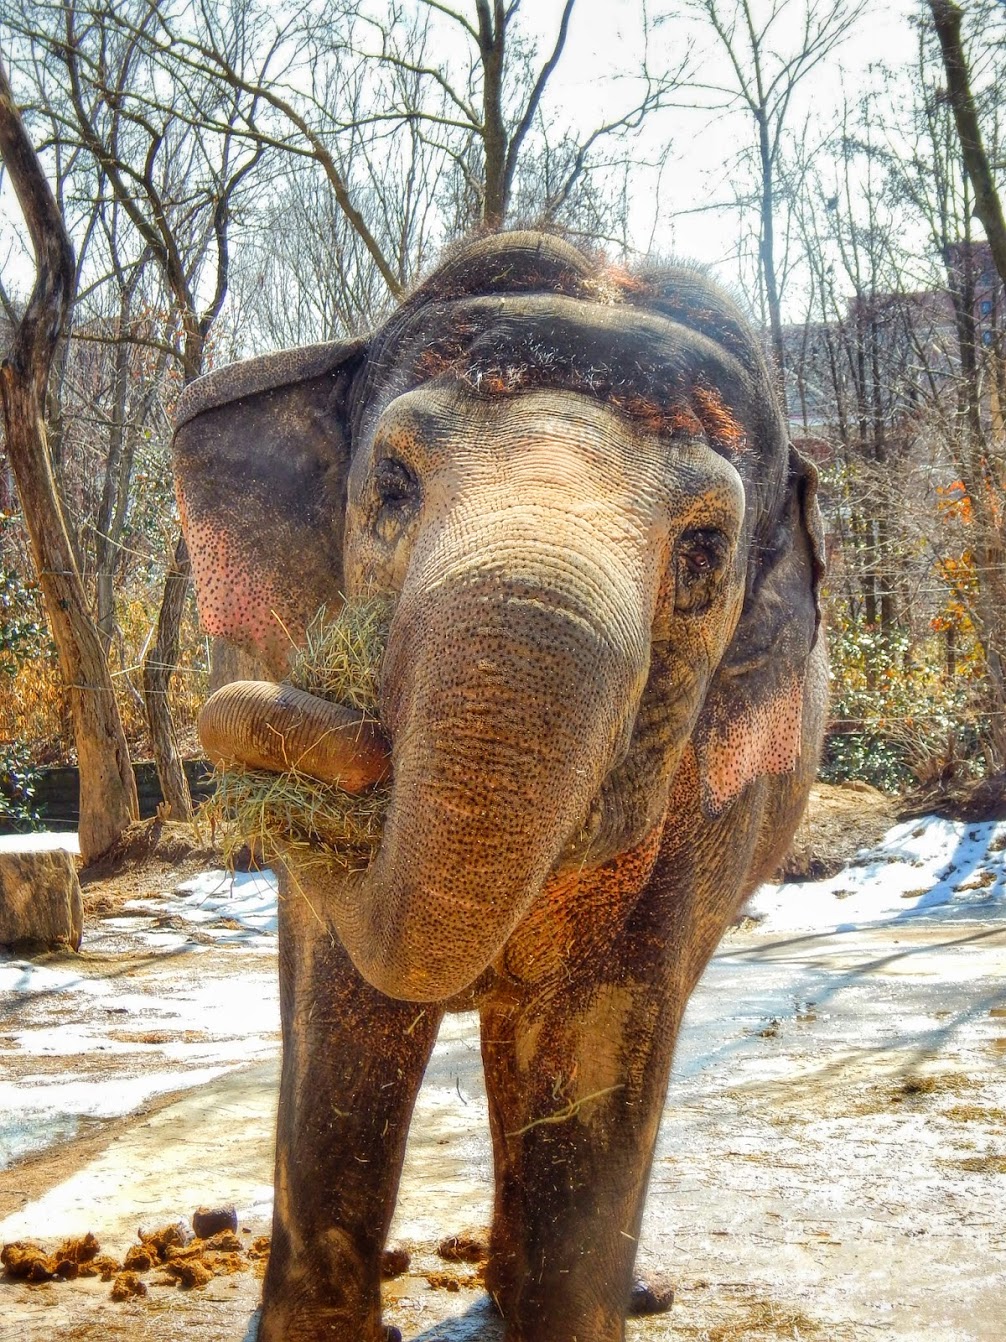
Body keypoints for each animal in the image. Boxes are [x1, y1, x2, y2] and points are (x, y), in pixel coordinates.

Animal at [173, 230, 827, 1342]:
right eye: (393, 488)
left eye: (703, 551)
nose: (331, 744)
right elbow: (345, 1009)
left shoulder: (702, 815)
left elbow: (597, 1027)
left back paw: (621, 1294)